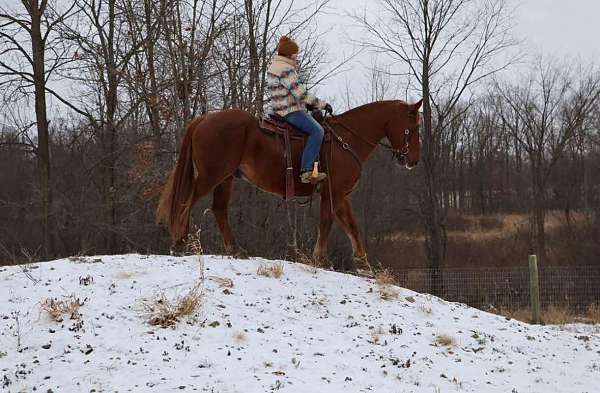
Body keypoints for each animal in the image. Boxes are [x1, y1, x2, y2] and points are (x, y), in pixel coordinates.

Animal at [157, 99, 424, 274]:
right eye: (413, 127)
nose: (413, 161)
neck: (345, 141)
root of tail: (204, 119)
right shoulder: (333, 192)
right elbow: (326, 223)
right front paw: (320, 258)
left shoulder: (339, 195)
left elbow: (351, 226)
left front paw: (363, 264)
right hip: (212, 176)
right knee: (185, 202)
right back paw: (180, 242)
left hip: (226, 178)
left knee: (219, 210)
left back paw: (235, 249)